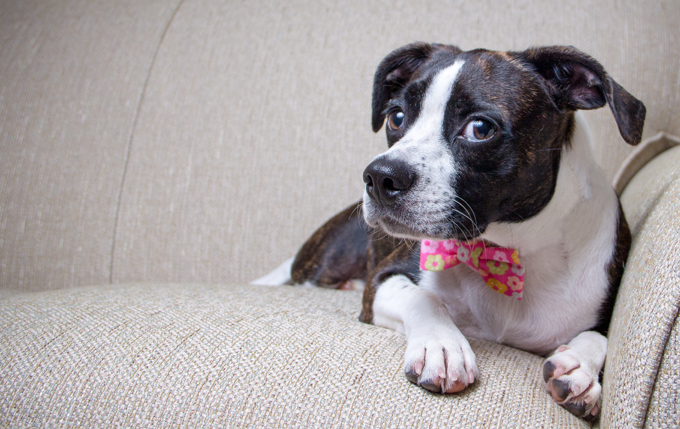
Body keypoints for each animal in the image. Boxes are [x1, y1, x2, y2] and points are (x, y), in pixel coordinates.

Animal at [252, 42, 644, 418]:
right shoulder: (382, 279)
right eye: (396, 117)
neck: (507, 251)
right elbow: (423, 297)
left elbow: (601, 337)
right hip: (320, 267)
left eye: (480, 128)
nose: (380, 176)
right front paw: (441, 346)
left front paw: (580, 369)